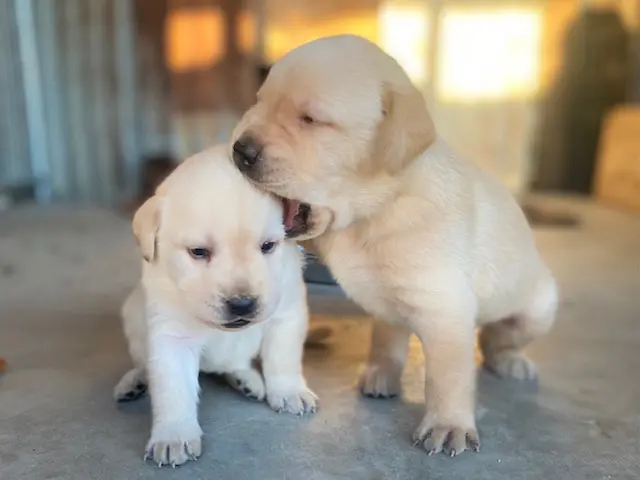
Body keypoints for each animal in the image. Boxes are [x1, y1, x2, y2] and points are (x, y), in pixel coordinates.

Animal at [114, 144, 318, 466]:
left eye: (268, 246)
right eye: (198, 252)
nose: (243, 304)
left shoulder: (286, 313)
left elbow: (283, 359)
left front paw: (288, 391)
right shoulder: (171, 335)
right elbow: (172, 389)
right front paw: (173, 435)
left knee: (233, 365)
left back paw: (246, 380)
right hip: (132, 314)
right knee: (143, 363)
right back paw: (133, 382)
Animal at [231, 34, 560, 458]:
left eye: (310, 119)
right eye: (259, 101)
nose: (240, 151)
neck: (375, 208)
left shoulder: (444, 309)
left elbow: (449, 376)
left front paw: (449, 424)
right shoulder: (387, 299)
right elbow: (386, 339)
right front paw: (381, 372)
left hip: (538, 308)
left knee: (497, 338)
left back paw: (511, 362)